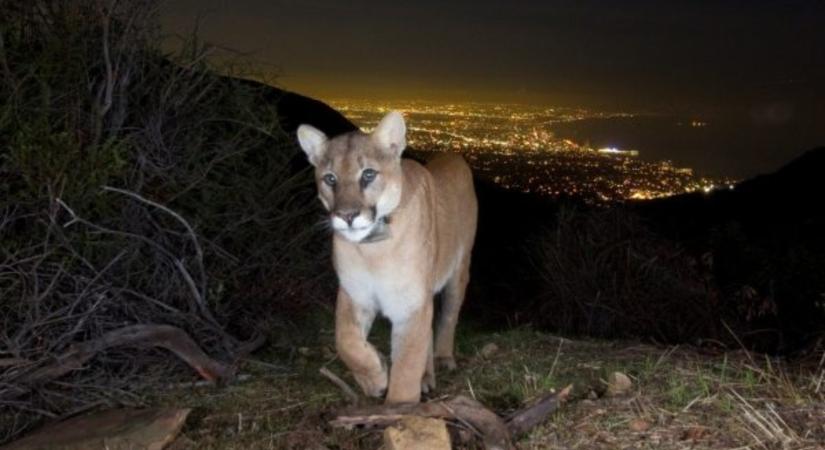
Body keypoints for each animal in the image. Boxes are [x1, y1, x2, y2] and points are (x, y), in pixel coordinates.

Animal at [296, 110, 476, 402]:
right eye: (330, 178)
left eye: (368, 174)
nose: (347, 215)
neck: (374, 250)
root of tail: (453, 155)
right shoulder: (355, 293)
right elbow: (344, 340)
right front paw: (375, 376)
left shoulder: (410, 305)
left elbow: (406, 367)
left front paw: (399, 405)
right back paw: (425, 377)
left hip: (459, 271)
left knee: (449, 315)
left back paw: (442, 358)